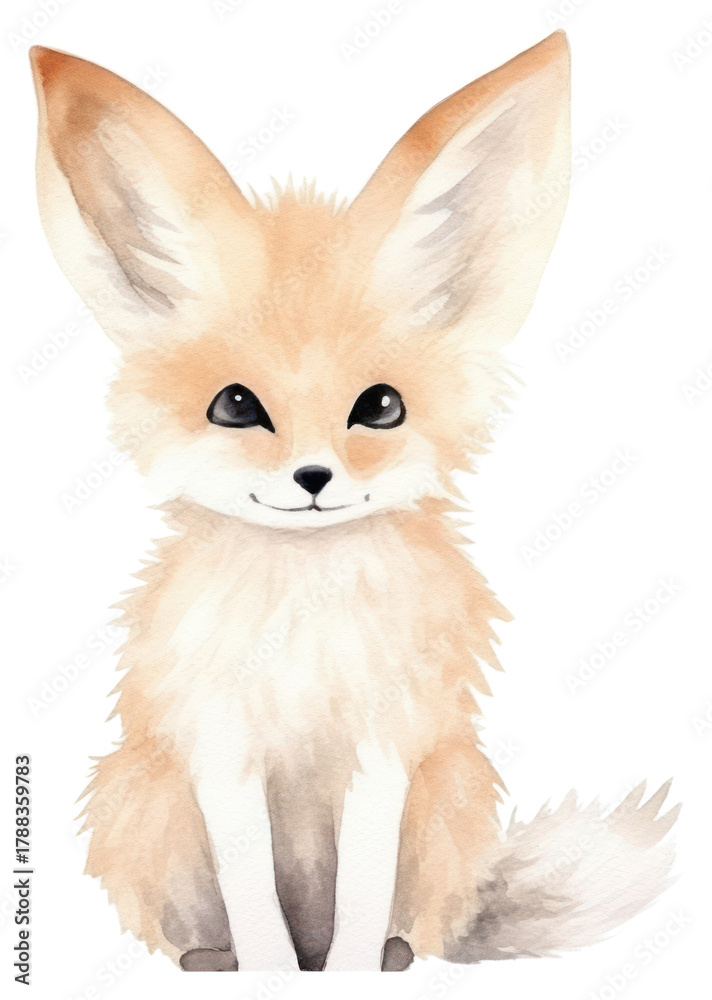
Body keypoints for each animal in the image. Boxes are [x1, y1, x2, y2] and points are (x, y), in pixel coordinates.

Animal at [30, 32, 677, 973]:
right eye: (236, 406)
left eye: (379, 407)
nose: (313, 479)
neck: (307, 611)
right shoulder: (222, 749)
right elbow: (252, 896)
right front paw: (271, 975)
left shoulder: (385, 747)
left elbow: (364, 892)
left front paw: (346, 975)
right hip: (139, 793)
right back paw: (213, 962)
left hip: (451, 789)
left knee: (411, 920)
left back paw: (394, 954)